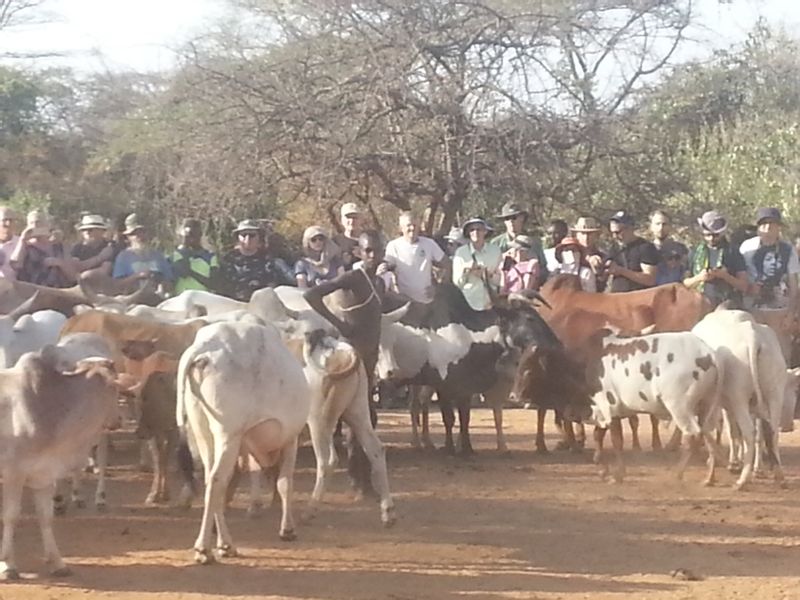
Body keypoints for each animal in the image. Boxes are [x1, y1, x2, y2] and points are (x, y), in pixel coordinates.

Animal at [0, 330, 124, 580]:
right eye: (114, 389)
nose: (118, 420)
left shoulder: (44, 474)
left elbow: (46, 517)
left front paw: (57, 563)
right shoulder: (13, 474)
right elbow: (10, 516)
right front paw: (8, 566)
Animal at [178, 322, 312, 564]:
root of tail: (206, 347)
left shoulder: (248, 445)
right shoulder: (291, 439)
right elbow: (285, 483)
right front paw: (287, 530)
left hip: (205, 433)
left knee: (212, 480)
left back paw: (225, 545)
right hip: (228, 434)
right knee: (217, 481)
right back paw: (204, 549)